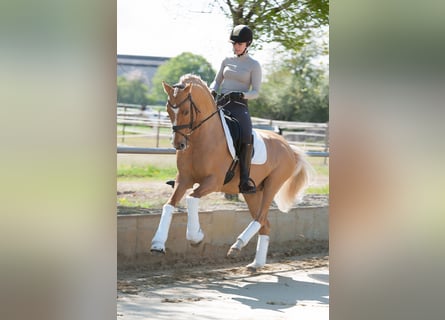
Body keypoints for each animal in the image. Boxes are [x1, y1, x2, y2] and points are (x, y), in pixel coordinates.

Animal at [150, 74, 312, 270]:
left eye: (186, 112)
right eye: (168, 111)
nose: (178, 144)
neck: (201, 139)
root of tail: (288, 147)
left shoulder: (214, 181)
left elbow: (191, 198)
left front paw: (196, 236)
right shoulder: (184, 179)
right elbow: (169, 205)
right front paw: (157, 244)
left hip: (272, 185)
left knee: (260, 217)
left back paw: (237, 245)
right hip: (252, 193)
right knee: (265, 224)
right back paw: (256, 263)